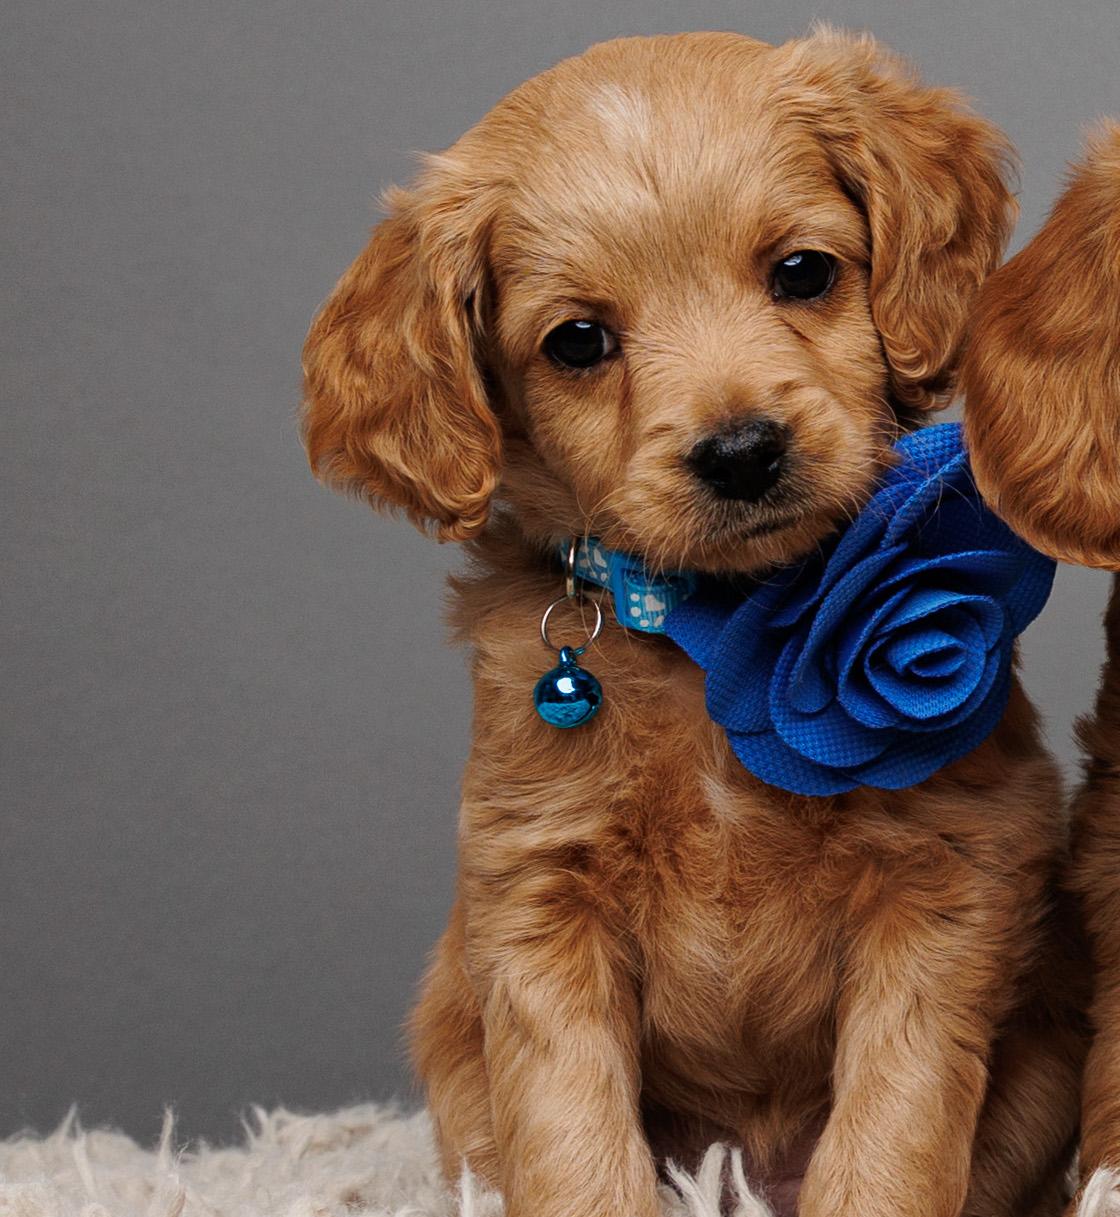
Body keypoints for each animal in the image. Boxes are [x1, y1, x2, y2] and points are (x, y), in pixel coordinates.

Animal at [303, 30, 1084, 1217]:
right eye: (579, 340)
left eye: (802, 272)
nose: (742, 451)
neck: (712, 628)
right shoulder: (538, 896)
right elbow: (574, 1139)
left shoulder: (948, 871)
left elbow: (891, 1128)